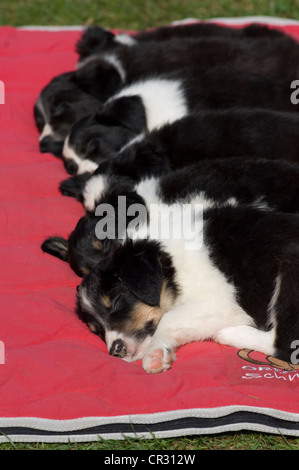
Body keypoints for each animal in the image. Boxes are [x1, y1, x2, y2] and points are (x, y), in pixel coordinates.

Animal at [75, 207, 299, 374]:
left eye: (116, 301)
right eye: (95, 330)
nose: (116, 350)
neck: (169, 258)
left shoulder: (222, 301)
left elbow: (169, 318)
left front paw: (155, 354)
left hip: (290, 268)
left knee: (285, 345)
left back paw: (229, 334)